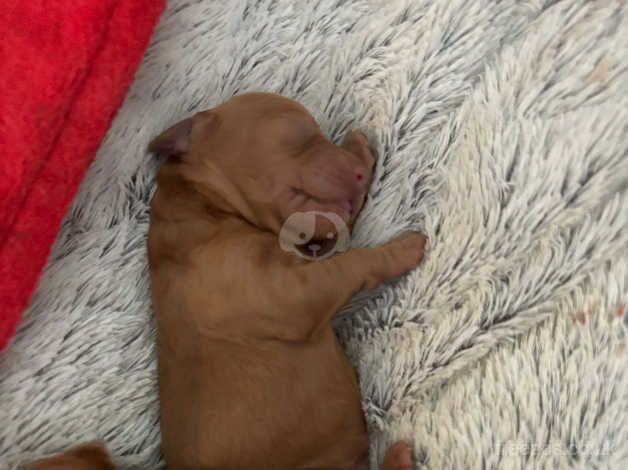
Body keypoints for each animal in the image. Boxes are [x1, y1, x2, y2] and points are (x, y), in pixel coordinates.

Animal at [146, 92, 426, 470]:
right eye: (298, 131)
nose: (356, 173)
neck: (204, 204)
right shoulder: (292, 294)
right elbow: (353, 262)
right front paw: (402, 249)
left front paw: (359, 151)